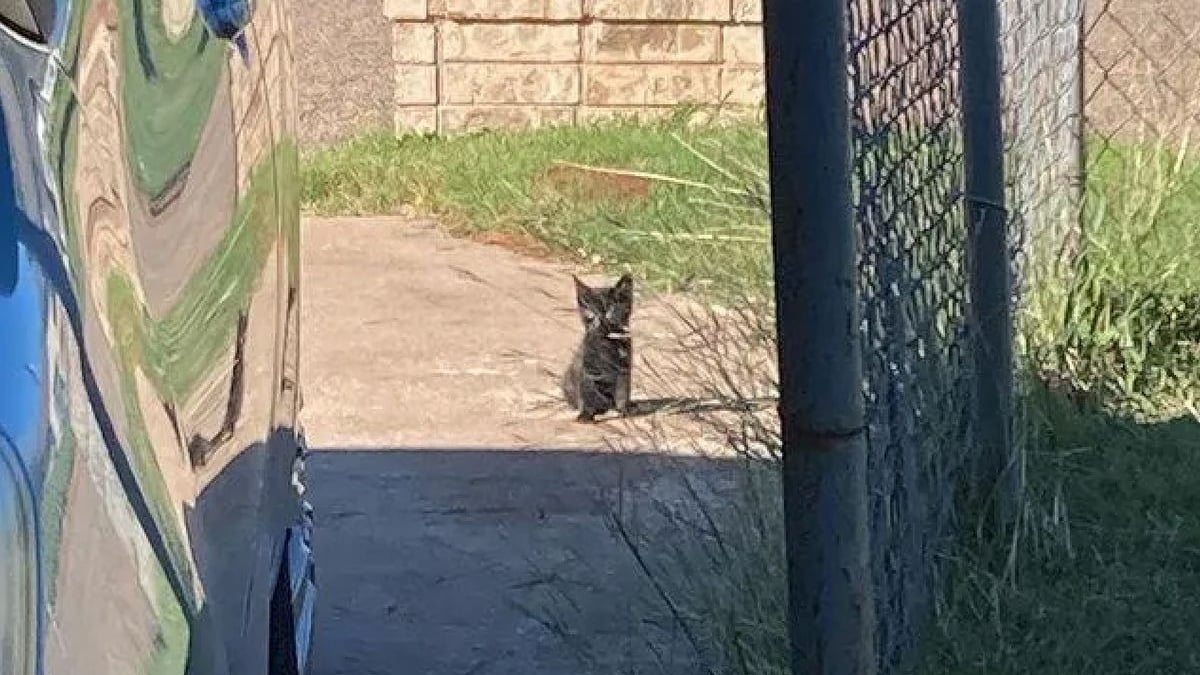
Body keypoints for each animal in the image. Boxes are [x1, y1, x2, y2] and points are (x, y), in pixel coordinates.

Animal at [564, 271, 638, 420]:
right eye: (591, 308)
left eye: (611, 308)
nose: (601, 316)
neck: (606, 342)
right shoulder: (589, 373)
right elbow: (589, 393)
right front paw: (587, 414)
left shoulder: (623, 370)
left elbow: (622, 393)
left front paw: (624, 411)